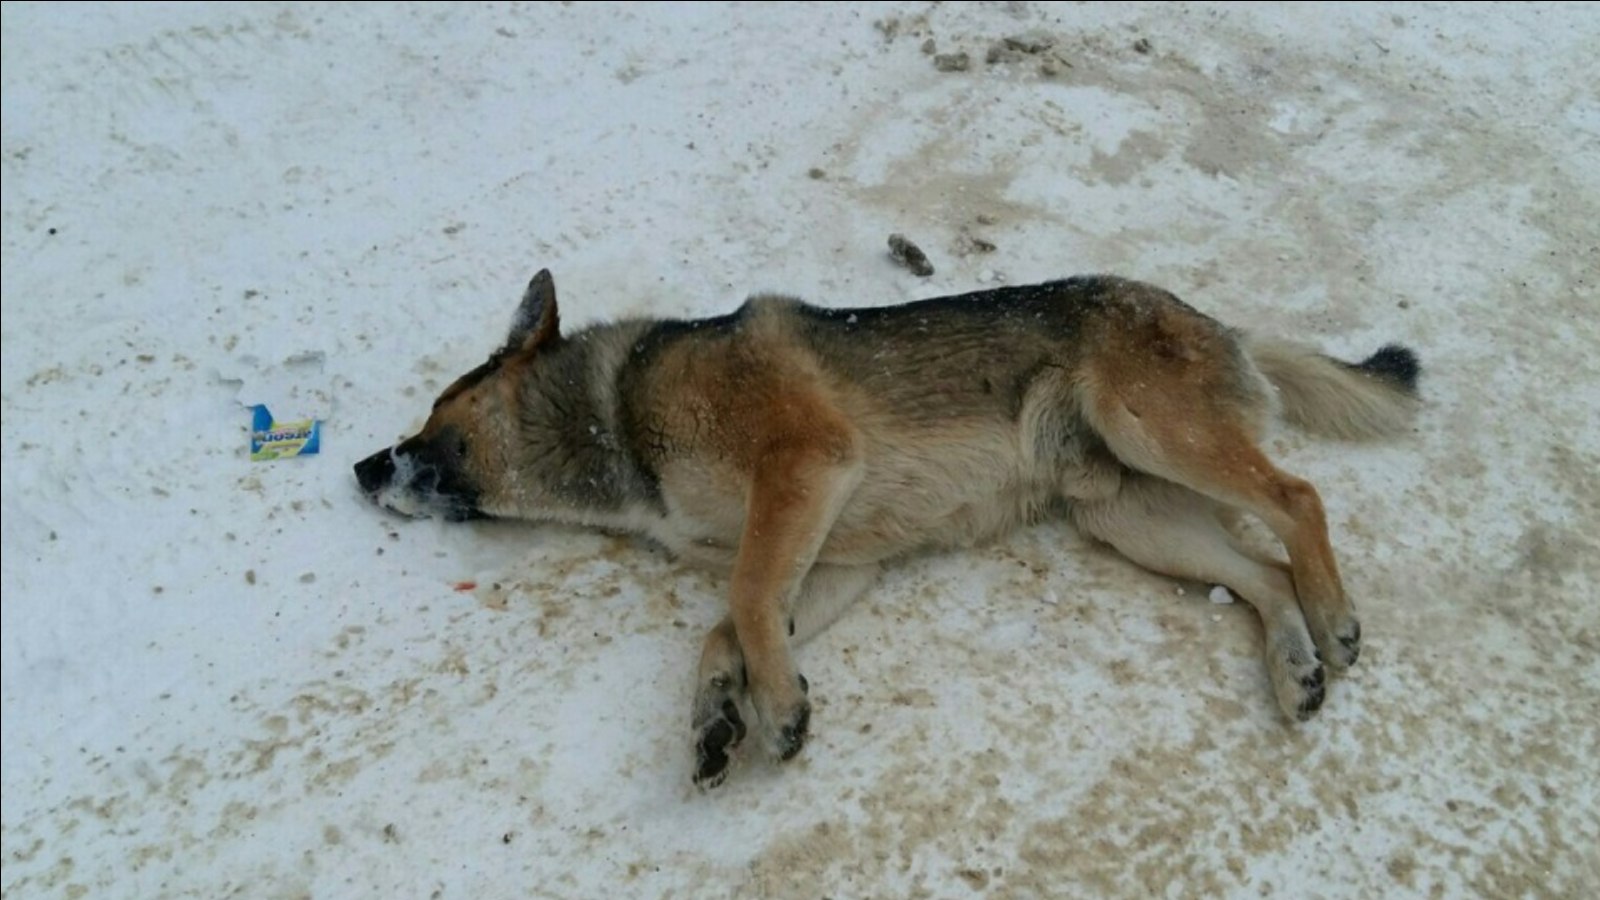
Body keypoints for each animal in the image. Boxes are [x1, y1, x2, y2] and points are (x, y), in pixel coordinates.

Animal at [356, 267, 1420, 784]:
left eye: (432, 417)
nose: (363, 466)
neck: (615, 416)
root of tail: (1225, 327)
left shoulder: (805, 467)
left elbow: (743, 596)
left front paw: (776, 708)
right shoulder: (832, 561)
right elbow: (724, 630)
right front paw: (721, 716)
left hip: (1152, 434)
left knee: (1298, 500)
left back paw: (1337, 622)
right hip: (1128, 515)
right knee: (1263, 573)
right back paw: (1295, 667)